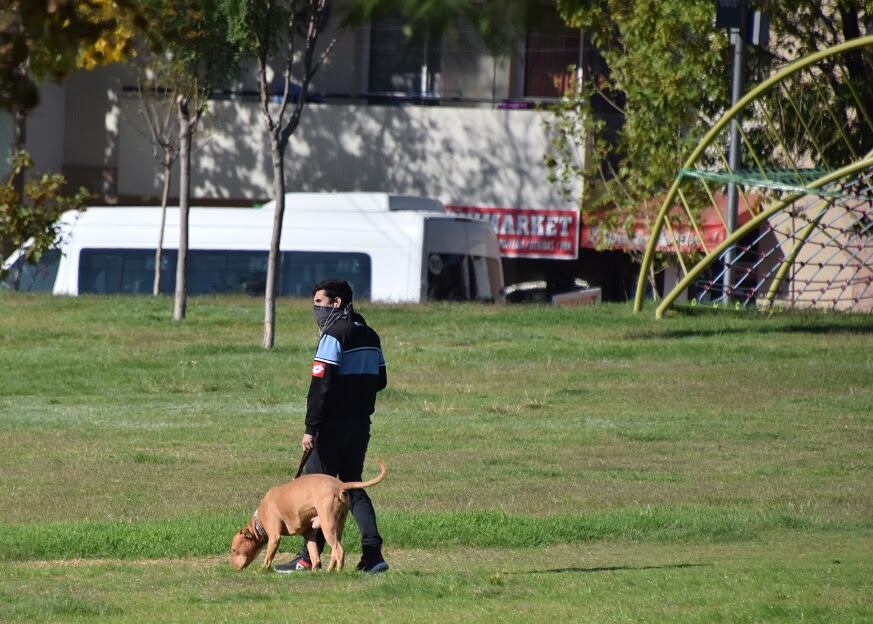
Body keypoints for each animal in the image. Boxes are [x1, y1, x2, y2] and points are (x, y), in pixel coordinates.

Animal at [232, 460, 384, 572]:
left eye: (233, 549)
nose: (231, 567)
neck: (258, 522)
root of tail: (339, 484)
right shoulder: (309, 535)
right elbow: (314, 555)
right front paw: (314, 571)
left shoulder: (274, 537)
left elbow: (268, 557)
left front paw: (262, 570)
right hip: (338, 524)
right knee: (335, 551)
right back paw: (329, 570)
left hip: (327, 525)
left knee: (339, 550)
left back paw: (338, 572)